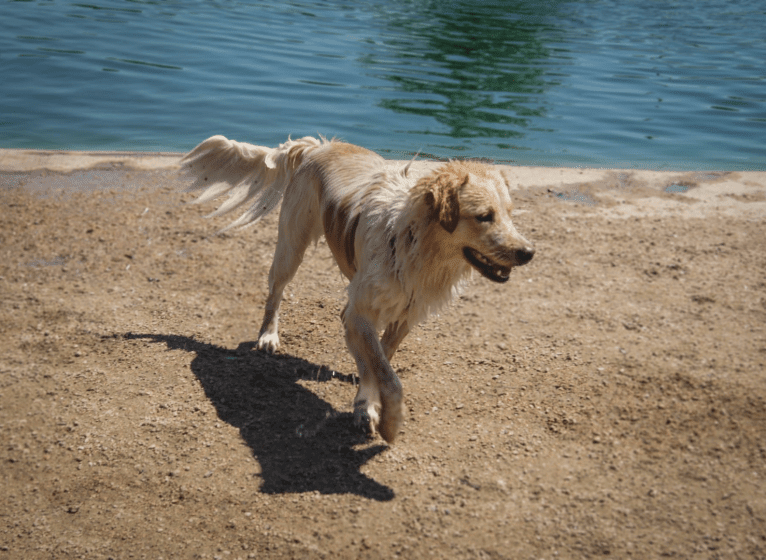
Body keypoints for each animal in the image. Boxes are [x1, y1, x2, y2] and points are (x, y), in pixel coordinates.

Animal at [183, 136, 536, 442]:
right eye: (484, 216)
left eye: (509, 213)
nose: (528, 252)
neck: (410, 245)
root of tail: (317, 146)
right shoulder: (362, 313)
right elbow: (387, 375)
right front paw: (385, 418)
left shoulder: (403, 316)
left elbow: (381, 361)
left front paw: (368, 405)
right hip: (291, 247)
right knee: (275, 292)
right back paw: (268, 335)